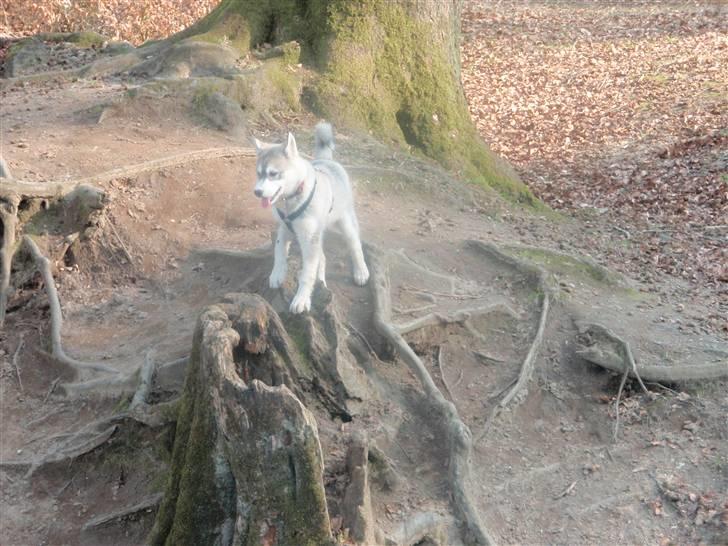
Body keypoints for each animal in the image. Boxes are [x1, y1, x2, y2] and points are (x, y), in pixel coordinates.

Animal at [255, 121, 370, 312]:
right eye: (258, 173)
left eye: (273, 173)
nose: (256, 192)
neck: (292, 199)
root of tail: (327, 161)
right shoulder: (284, 229)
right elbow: (279, 253)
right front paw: (277, 274)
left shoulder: (309, 238)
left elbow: (306, 274)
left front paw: (301, 299)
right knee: (322, 257)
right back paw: (321, 281)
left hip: (345, 223)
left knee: (355, 245)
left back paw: (361, 271)